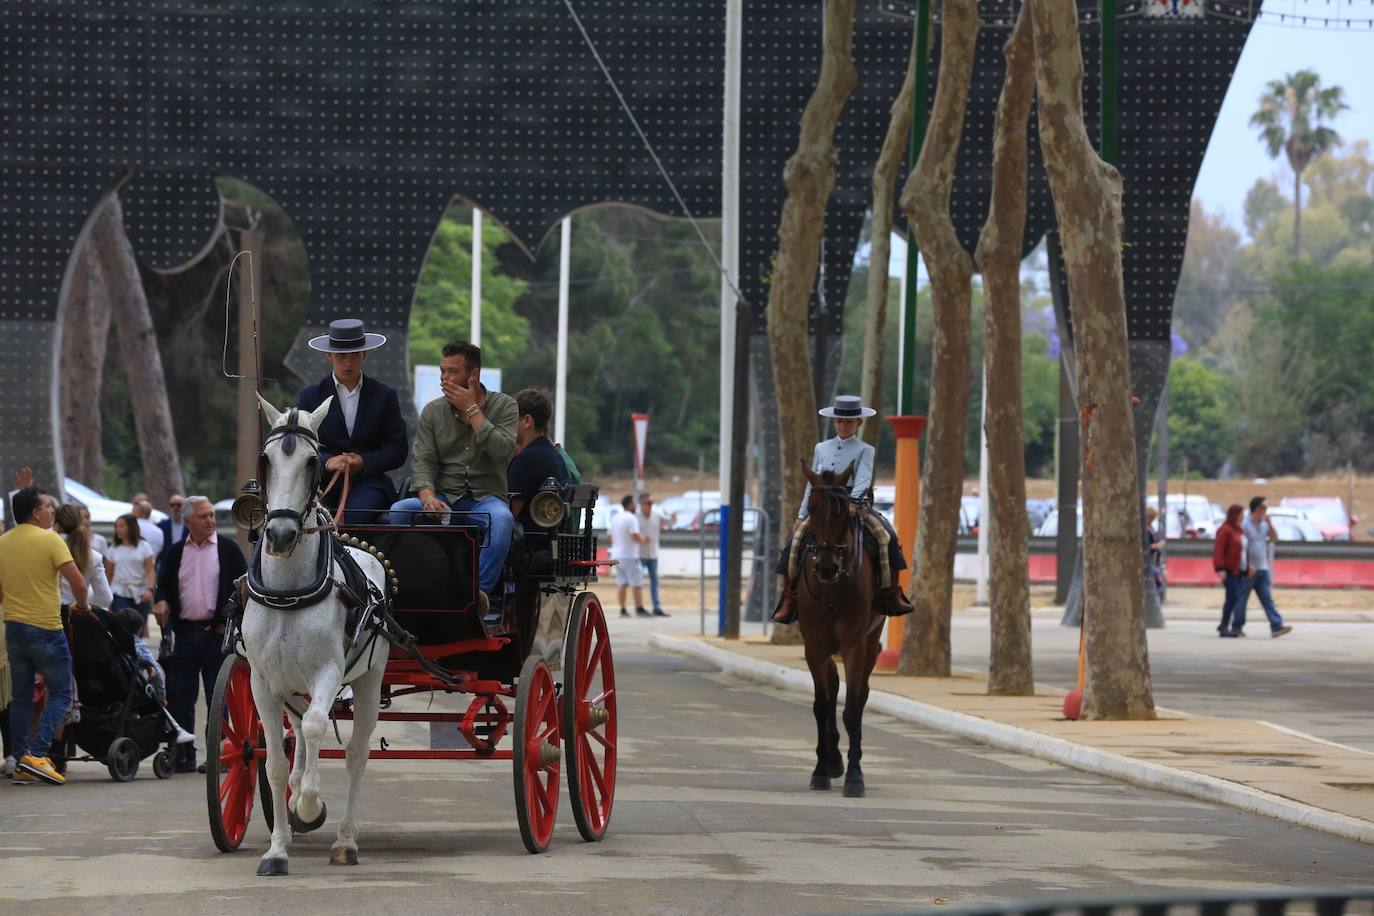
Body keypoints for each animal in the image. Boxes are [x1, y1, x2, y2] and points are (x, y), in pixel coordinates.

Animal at [241, 398, 390, 878]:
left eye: (314, 462)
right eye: (266, 460)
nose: (280, 534)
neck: (289, 591)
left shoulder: (328, 672)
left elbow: (315, 726)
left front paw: (308, 806)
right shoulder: (262, 682)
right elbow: (273, 760)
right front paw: (277, 850)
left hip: (370, 677)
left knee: (355, 751)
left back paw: (345, 840)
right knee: (300, 735)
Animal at [796, 466, 879, 796]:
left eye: (844, 511)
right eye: (812, 507)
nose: (827, 567)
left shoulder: (855, 645)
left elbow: (853, 709)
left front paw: (855, 776)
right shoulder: (814, 647)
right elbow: (821, 705)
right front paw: (820, 770)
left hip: (871, 641)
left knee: (862, 692)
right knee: (831, 686)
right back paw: (832, 760)